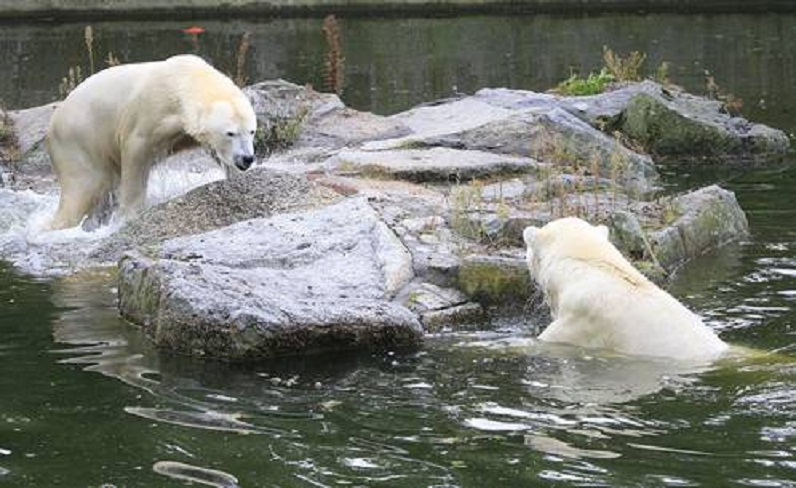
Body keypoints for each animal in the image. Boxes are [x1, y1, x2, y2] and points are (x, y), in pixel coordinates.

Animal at [45, 54, 256, 230]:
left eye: (252, 131)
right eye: (230, 133)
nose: (247, 158)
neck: (183, 79)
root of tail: (54, 123)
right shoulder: (149, 112)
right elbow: (136, 153)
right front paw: (130, 214)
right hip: (80, 141)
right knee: (84, 189)